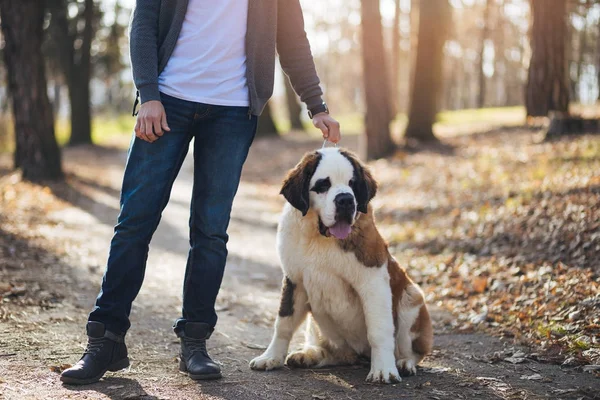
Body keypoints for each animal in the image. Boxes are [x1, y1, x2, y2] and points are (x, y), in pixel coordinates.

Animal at [248, 148, 432, 384]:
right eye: (323, 185)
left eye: (352, 184)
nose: (345, 199)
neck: (319, 237)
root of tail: (359, 354)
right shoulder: (293, 280)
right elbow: (284, 323)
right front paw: (271, 357)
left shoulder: (373, 282)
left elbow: (379, 329)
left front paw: (383, 369)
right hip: (318, 326)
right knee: (337, 353)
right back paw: (309, 355)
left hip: (412, 298)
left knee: (413, 350)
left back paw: (404, 363)